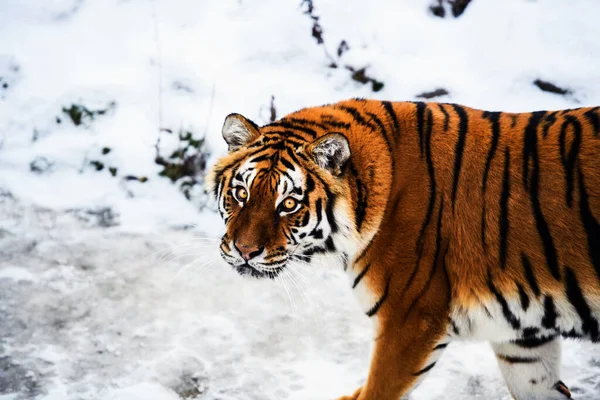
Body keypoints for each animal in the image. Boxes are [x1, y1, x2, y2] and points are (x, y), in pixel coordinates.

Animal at [206, 97, 600, 400]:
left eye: (288, 204)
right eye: (241, 193)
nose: (244, 251)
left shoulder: (409, 322)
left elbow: (376, 391)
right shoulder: (522, 342)